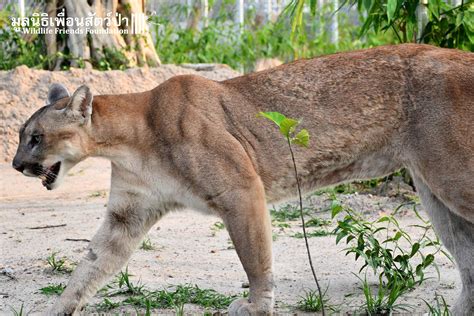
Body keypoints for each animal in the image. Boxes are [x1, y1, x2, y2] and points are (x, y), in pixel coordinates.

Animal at [12, 43, 474, 314]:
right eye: (19, 137)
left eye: (36, 138)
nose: (16, 165)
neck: (129, 140)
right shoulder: (127, 214)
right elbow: (89, 266)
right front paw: (58, 309)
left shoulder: (240, 190)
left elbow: (255, 259)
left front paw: (257, 306)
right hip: (435, 192)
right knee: (467, 258)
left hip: (452, 176)